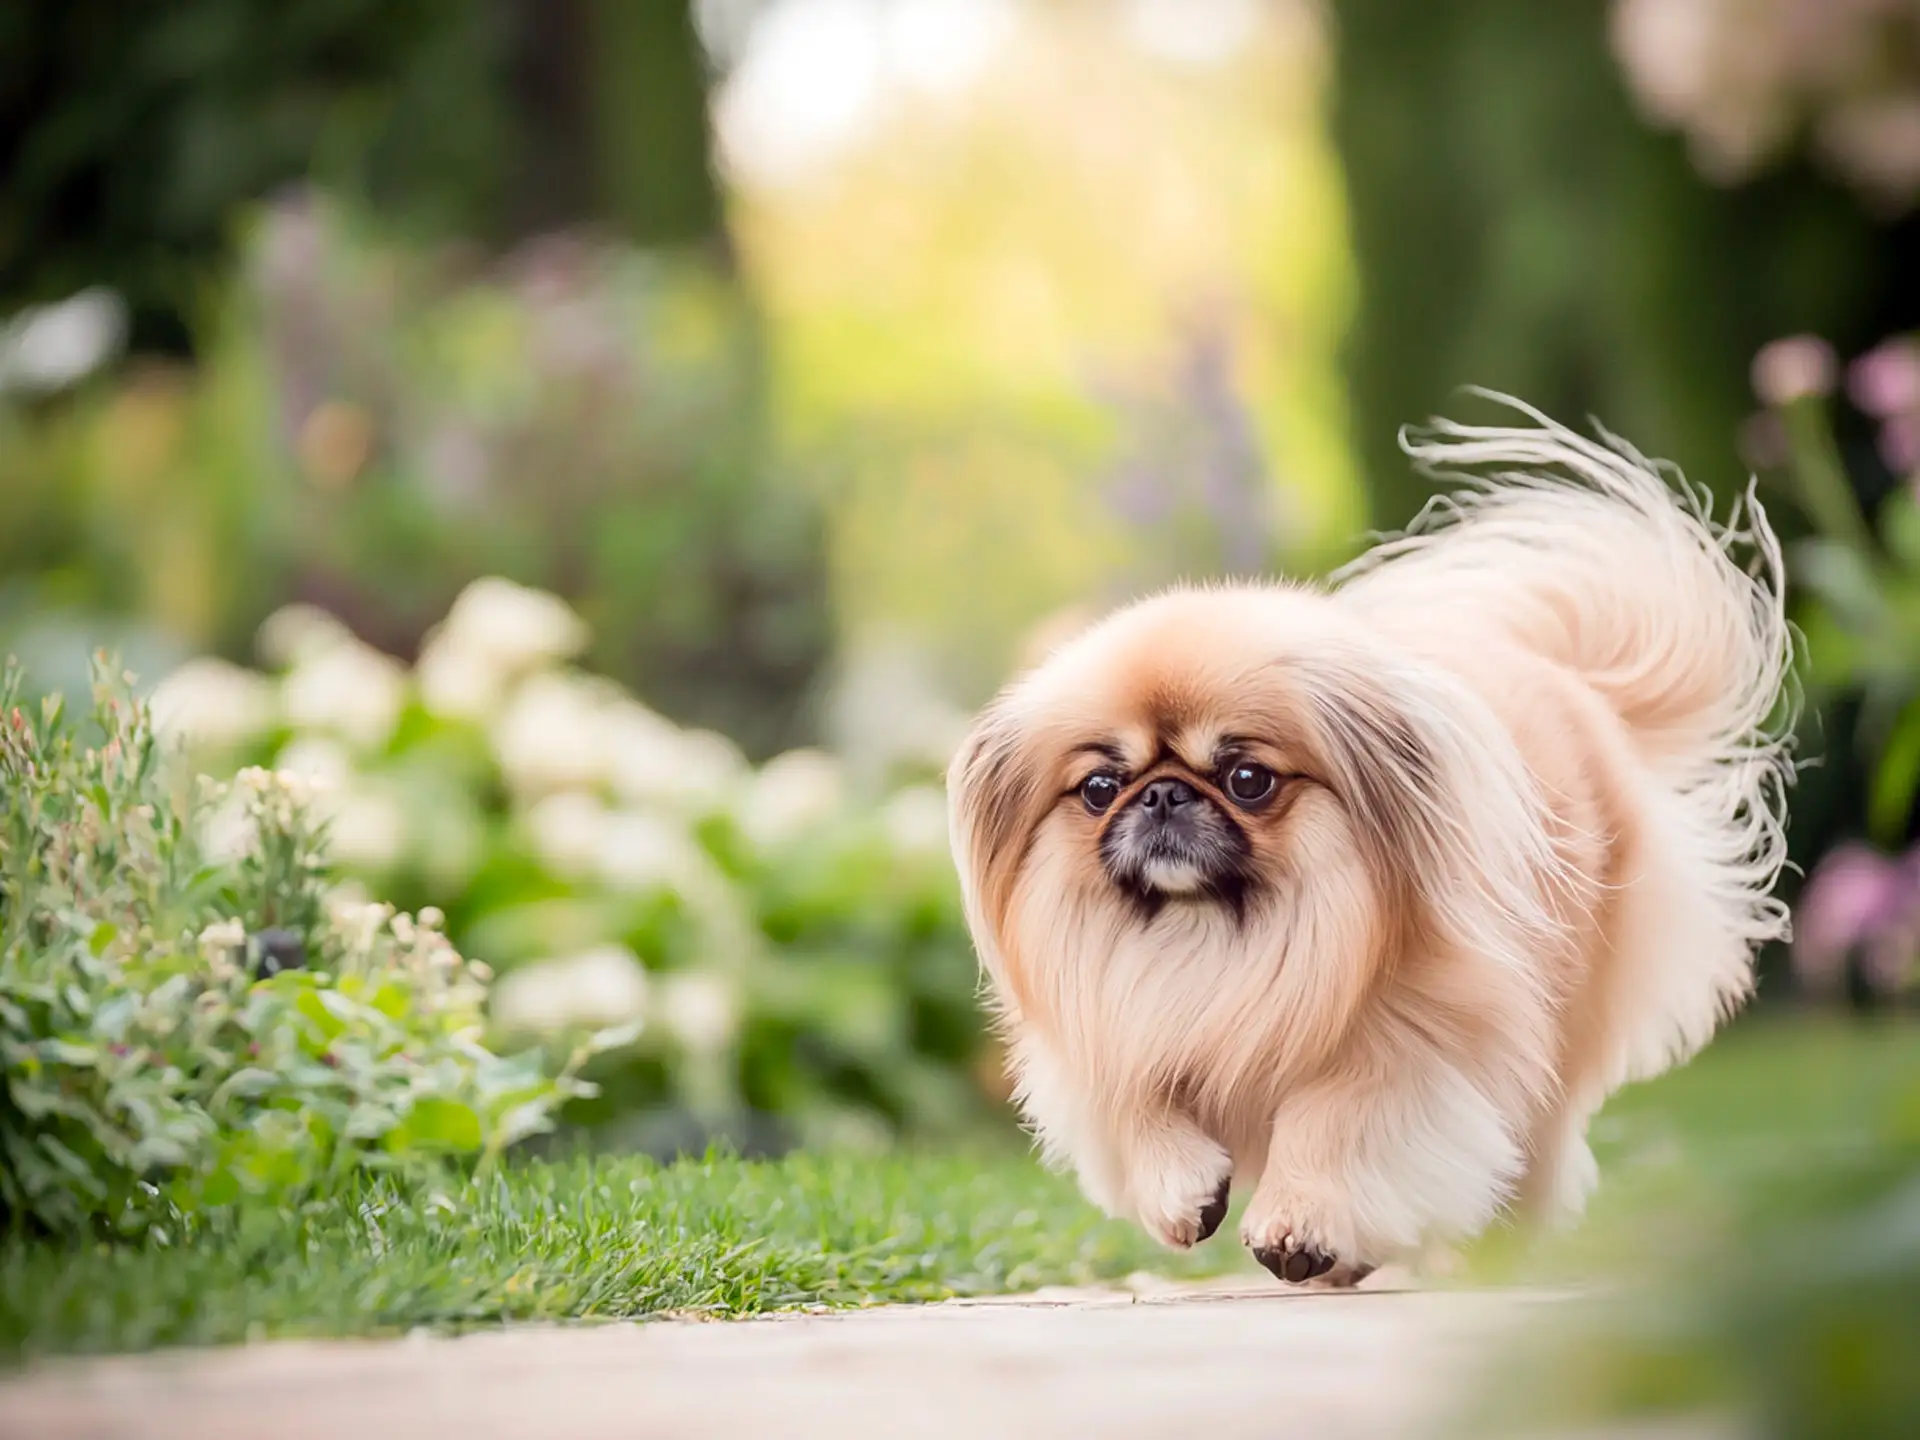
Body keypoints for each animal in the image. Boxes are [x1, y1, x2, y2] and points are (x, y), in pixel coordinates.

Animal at [952, 391, 1789, 1282]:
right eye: (1102, 788)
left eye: (1247, 779)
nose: (1165, 794)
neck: (1214, 940)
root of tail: (1568, 677)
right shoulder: (1112, 1031)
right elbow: (1138, 1107)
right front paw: (1184, 1192)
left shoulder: (1407, 1049)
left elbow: (1333, 1123)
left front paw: (1298, 1227)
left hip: (1554, 1039)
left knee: (1534, 1139)